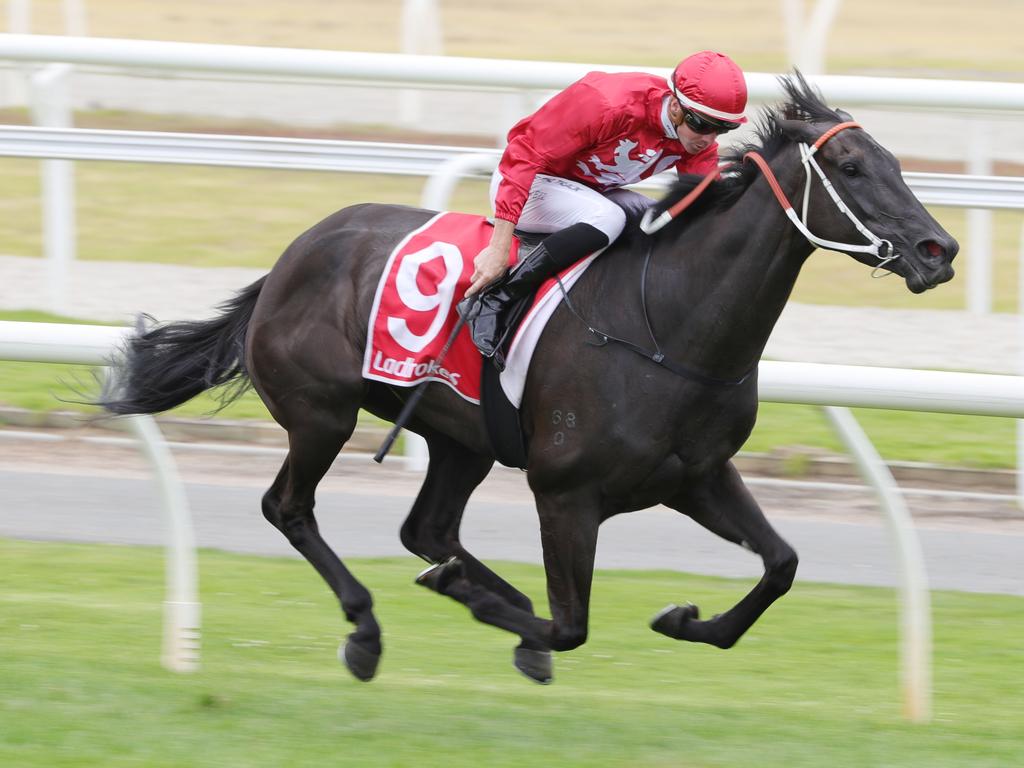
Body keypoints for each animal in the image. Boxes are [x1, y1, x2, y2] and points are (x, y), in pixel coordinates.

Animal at [99, 73, 954, 684]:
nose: (938, 250)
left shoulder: (698, 475)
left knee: (427, 529)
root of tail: (293, 255)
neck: (667, 325)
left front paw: (685, 621)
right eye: (850, 166)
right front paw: (485, 607)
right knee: (290, 508)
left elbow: (781, 566)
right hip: (322, 415)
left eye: (896, 162)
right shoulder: (566, 493)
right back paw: (370, 627)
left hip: (461, 437)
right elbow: (571, 625)